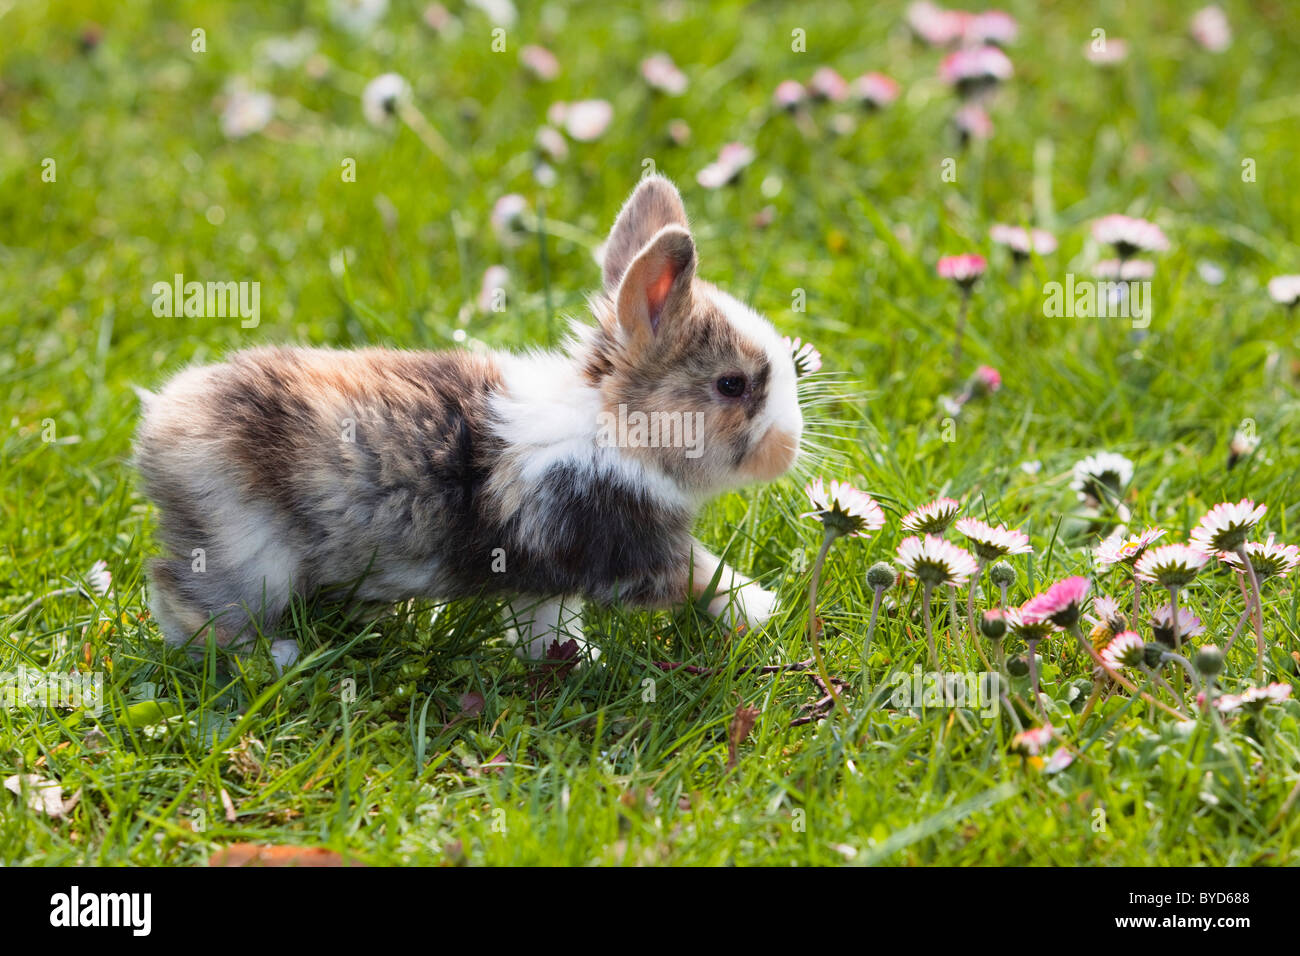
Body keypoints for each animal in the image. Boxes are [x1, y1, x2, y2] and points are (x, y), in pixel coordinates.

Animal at [133, 175, 803, 669]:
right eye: (732, 385)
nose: (790, 449)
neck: (614, 428)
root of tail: (160, 421)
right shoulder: (628, 547)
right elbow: (702, 575)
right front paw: (762, 609)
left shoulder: (544, 575)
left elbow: (545, 622)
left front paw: (570, 660)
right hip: (247, 549)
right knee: (186, 603)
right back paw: (277, 656)